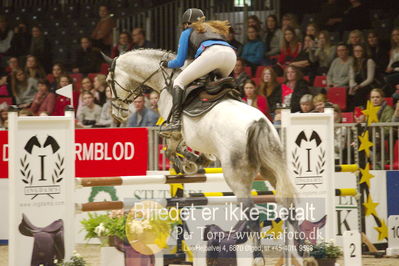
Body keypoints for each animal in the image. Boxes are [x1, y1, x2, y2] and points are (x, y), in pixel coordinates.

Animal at [104, 48, 298, 264]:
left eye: (108, 82)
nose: (117, 115)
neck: (164, 80)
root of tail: (259, 123)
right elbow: (189, 151)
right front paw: (199, 160)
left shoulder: (174, 133)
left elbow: (172, 150)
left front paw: (190, 163)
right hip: (270, 167)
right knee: (288, 204)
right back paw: (302, 250)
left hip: (236, 177)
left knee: (252, 214)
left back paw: (258, 258)